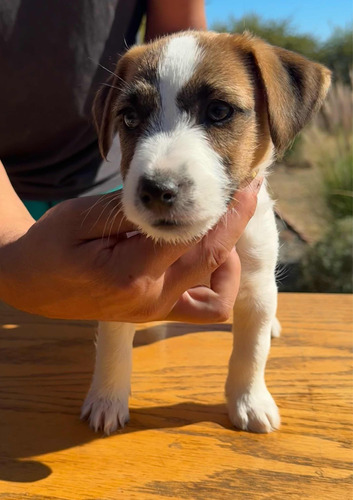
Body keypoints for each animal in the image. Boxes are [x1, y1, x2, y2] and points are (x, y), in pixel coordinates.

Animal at [80, 30, 330, 434]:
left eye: (218, 111)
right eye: (129, 118)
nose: (157, 189)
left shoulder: (256, 285)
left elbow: (251, 351)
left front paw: (249, 400)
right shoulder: (121, 288)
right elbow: (114, 347)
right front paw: (106, 399)